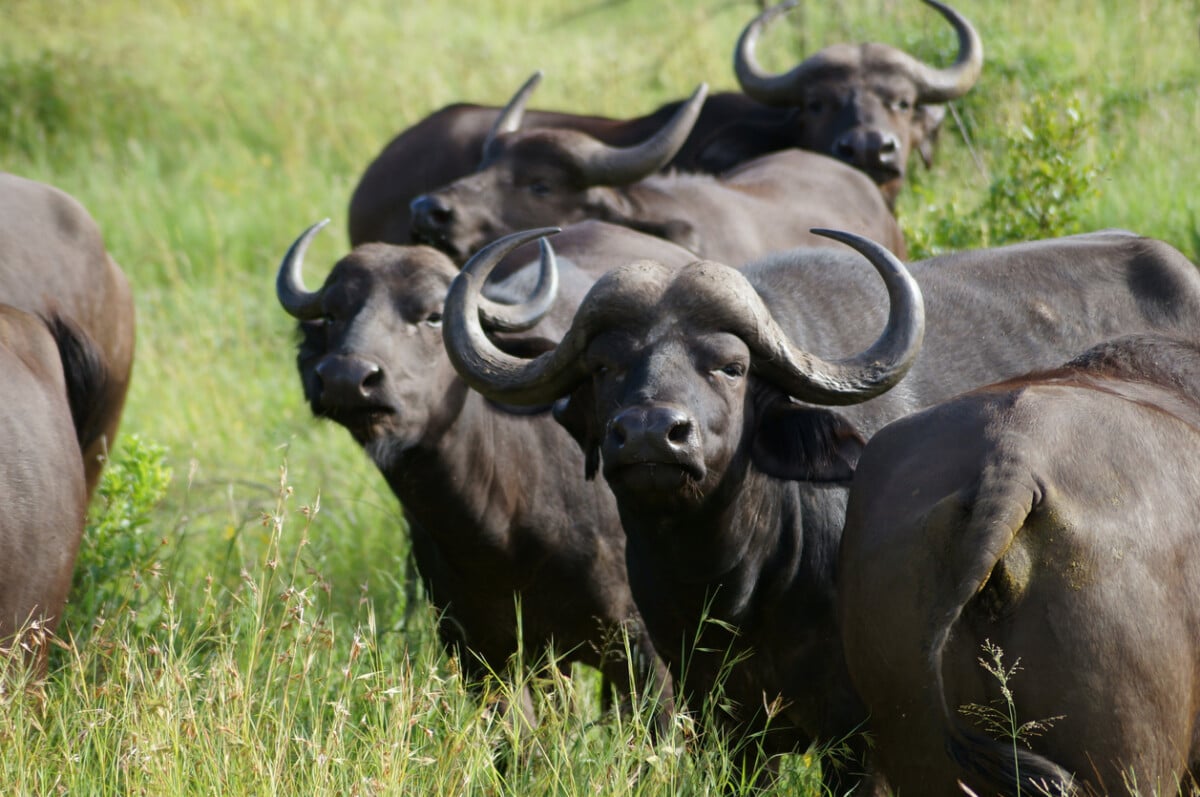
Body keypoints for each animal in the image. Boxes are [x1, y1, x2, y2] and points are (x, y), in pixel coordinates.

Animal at [276, 220, 697, 730]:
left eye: (432, 316)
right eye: (334, 314)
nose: (346, 377)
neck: (501, 529)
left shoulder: (648, 654)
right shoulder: (482, 654)